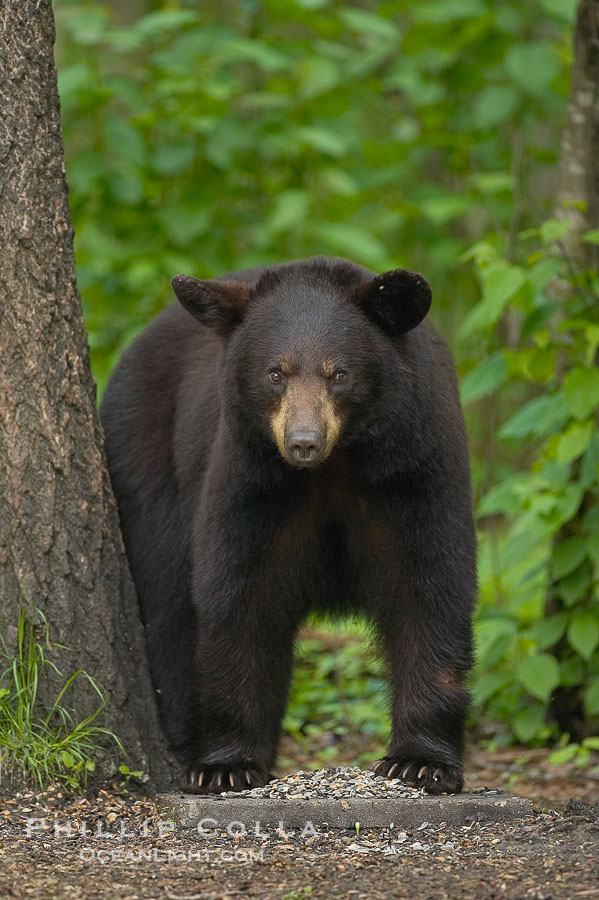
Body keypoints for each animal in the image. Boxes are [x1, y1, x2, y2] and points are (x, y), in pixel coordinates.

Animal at [100, 256, 477, 795]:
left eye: (339, 373)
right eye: (275, 373)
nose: (303, 442)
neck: (336, 465)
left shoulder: (414, 467)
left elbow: (431, 584)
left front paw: (421, 761)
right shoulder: (253, 480)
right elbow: (238, 594)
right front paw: (226, 764)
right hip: (146, 462)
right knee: (166, 604)